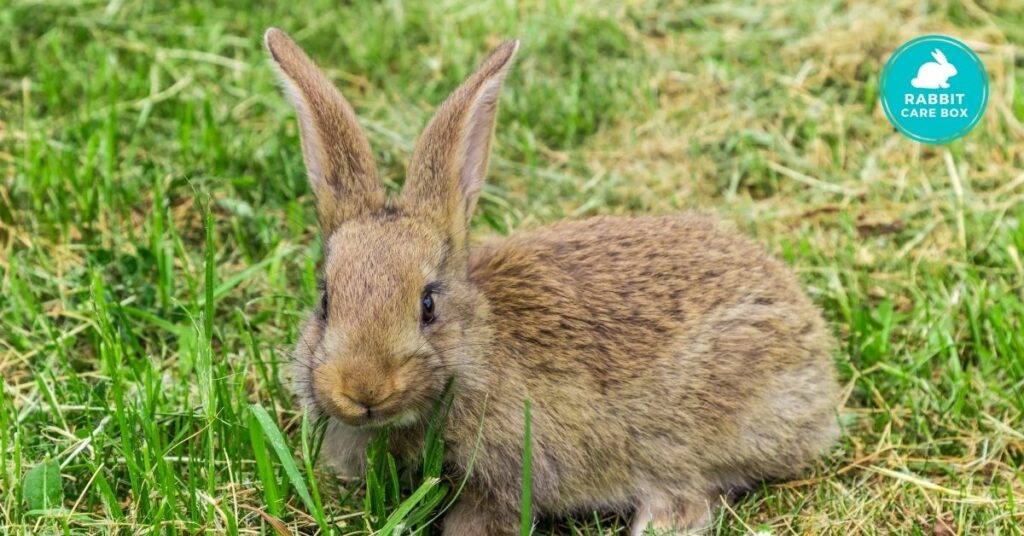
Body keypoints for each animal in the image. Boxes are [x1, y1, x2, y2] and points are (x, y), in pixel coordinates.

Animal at [270, 29, 839, 536]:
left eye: (428, 305)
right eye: (325, 300)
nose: (362, 388)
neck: (480, 346)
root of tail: (815, 355)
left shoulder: (506, 477)